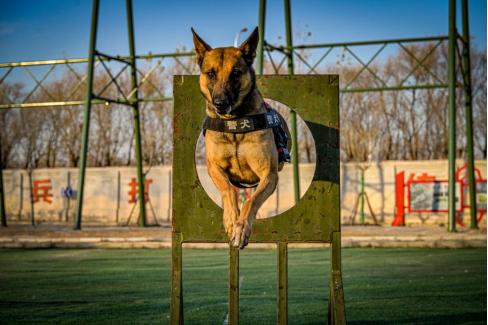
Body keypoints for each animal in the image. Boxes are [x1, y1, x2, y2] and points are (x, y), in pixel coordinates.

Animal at [191, 27, 290, 248]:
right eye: (211, 73)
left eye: (235, 73)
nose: (220, 103)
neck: (234, 123)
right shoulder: (214, 167)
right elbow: (228, 189)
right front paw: (230, 219)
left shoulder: (268, 174)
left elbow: (251, 201)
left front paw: (241, 228)